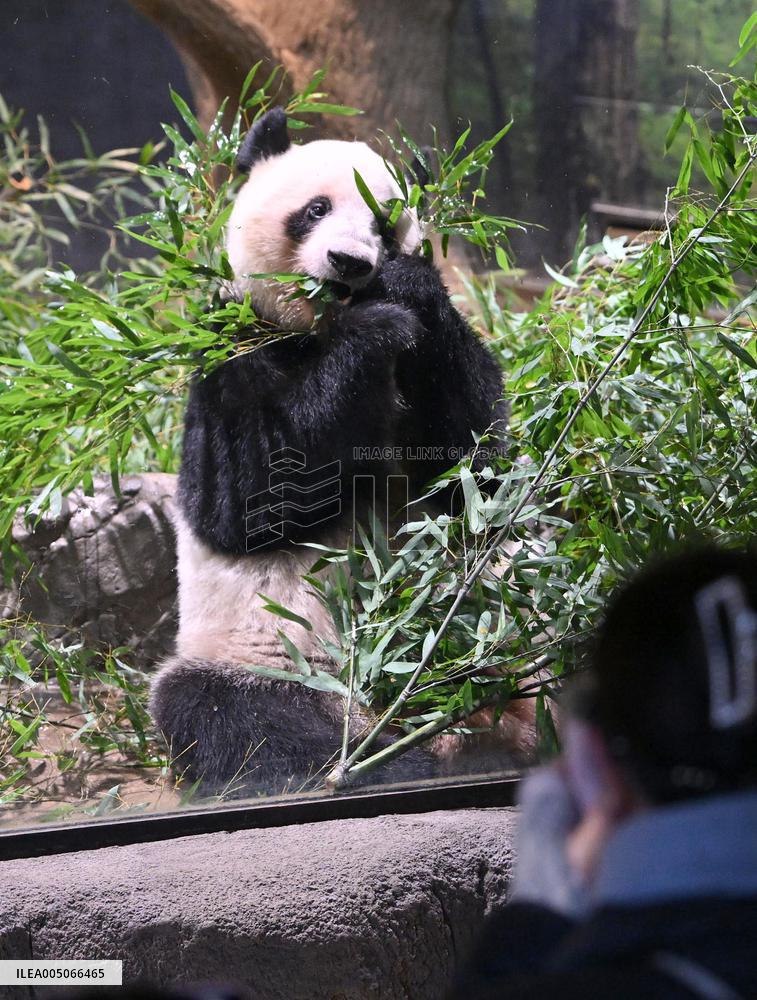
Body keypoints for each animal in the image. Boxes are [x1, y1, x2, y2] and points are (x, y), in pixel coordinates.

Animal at [150, 107, 525, 796]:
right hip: (263, 656)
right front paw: (374, 329)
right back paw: (386, 762)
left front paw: (406, 290)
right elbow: (246, 498)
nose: (349, 262)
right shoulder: (230, 343)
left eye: (383, 222)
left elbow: (473, 473)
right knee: (230, 714)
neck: (317, 329)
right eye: (316, 208)